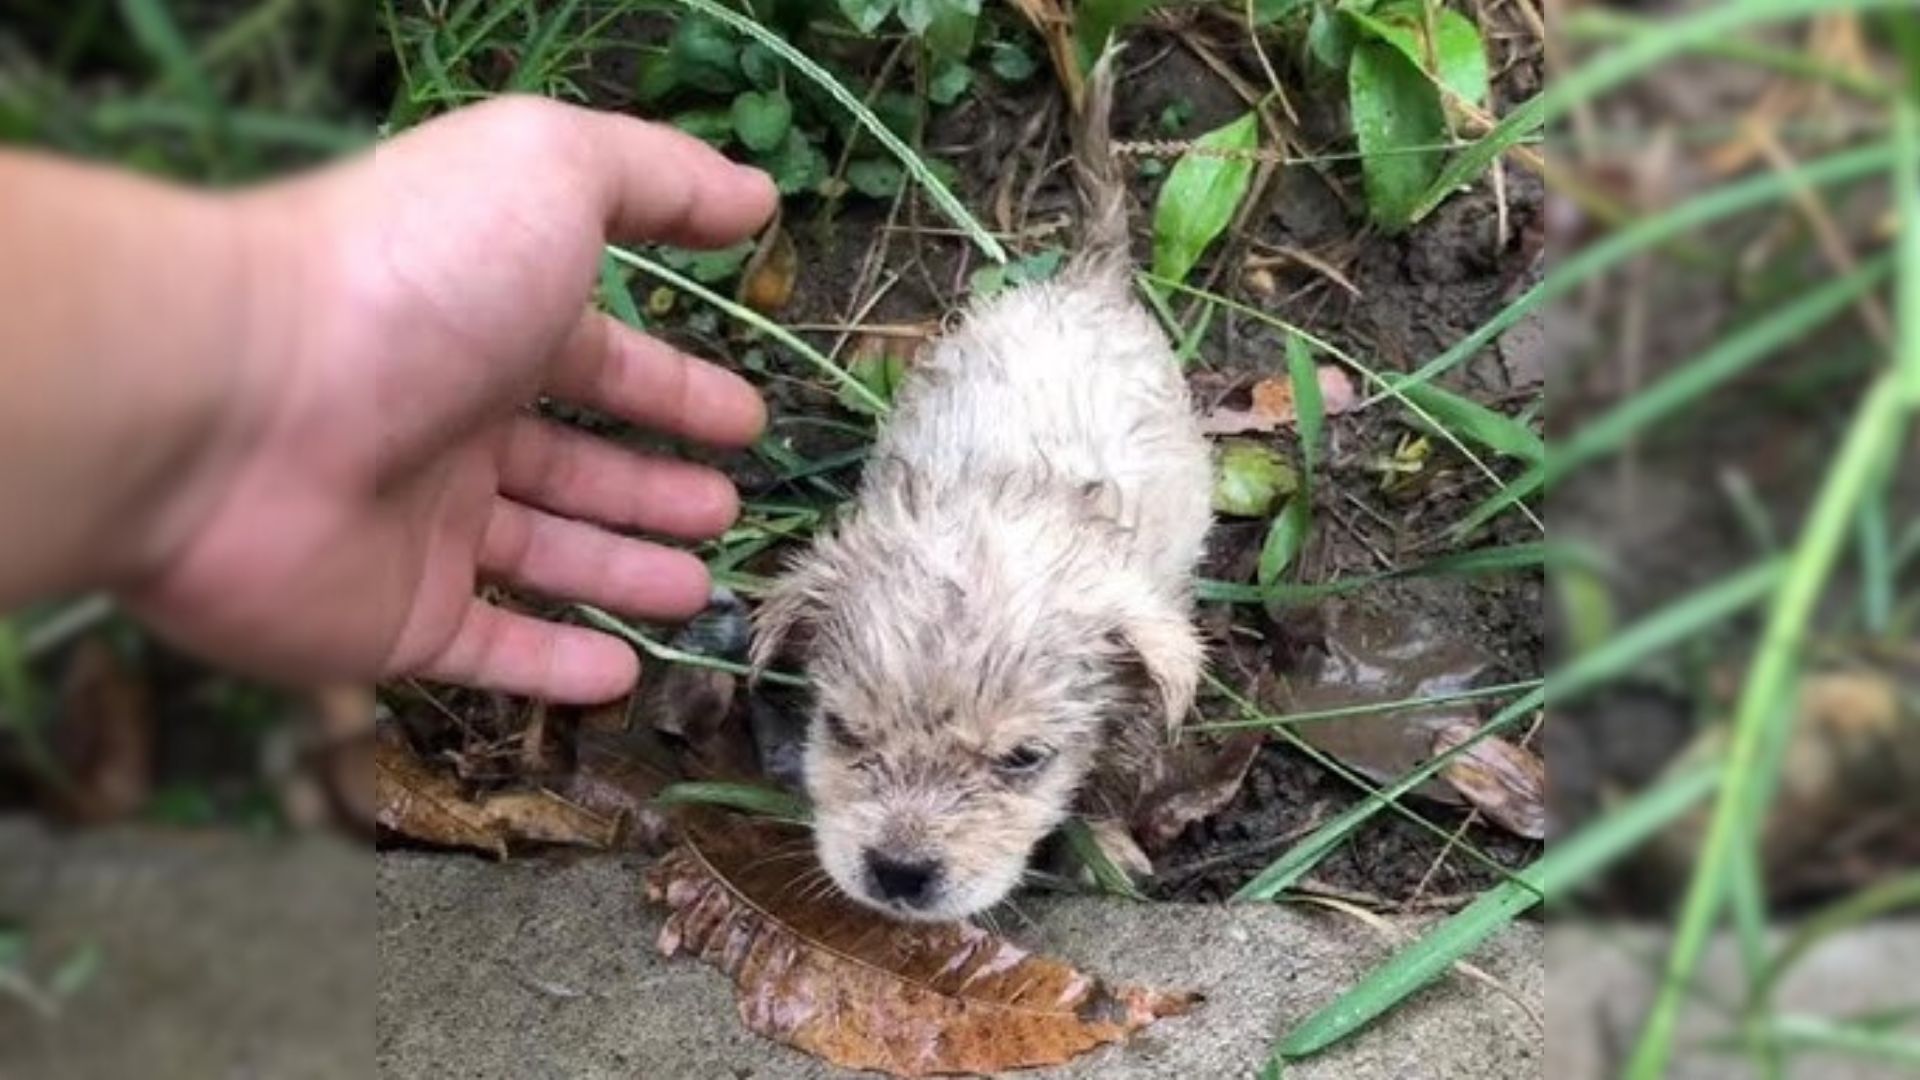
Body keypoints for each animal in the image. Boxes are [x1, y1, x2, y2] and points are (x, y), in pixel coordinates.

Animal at [744, 56, 1205, 914]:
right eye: (845, 731)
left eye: (1023, 759)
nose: (898, 872)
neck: (1001, 500)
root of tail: (1088, 281)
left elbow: (1116, 770)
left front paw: (1106, 848)